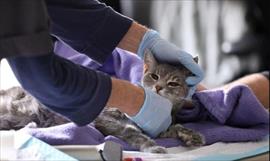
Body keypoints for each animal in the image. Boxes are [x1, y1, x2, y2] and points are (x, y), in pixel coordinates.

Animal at [0, 51, 204, 153]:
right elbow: (135, 134)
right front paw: (153, 148)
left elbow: (175, 127)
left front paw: (192, 135)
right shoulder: (109, 119)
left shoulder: (158, 128)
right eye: (154, 76)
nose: (159, 87)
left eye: (173, 83)